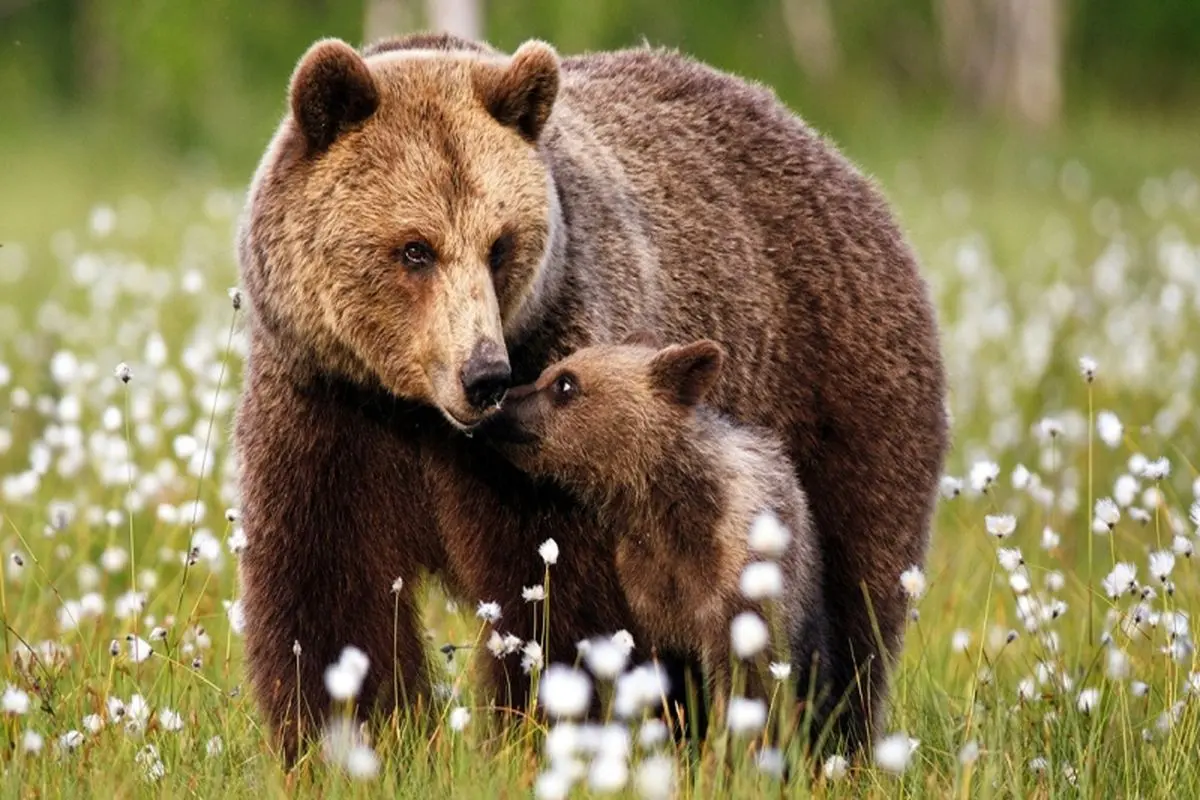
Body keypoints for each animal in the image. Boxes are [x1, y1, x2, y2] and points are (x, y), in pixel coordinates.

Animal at [234, 29, 945, 758]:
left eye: (500, 245)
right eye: (414, 249)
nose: (485, 376)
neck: (415, 413)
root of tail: (834, 156)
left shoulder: (560, 406)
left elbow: (553, 594)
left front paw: (543, 728)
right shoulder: (328, 405)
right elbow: (330, 594)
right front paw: (350, 737)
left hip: (837, 391)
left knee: (853, 595)